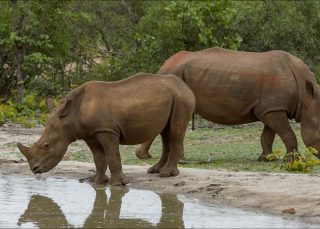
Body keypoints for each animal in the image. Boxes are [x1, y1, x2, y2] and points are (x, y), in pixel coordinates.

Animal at [17, 73, 195, 184]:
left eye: (46, 145)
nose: (34, 169)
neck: (70, 116)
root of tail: (185, 86)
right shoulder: (90, 134)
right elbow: (98, 158)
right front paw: (97, 182)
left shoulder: (106, 131)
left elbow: (112, 156)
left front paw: (118, 184)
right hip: (172, 97)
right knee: (165, 133)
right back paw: (155, 171)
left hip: (181, 100)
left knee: (175, 132)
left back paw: (166, 174)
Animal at [136, 47, 320, 162]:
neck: (305, 97)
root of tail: (164, 65)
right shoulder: (273, 109)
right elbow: (288, 134)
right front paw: (293, 160)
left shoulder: (271, 108)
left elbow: (268, 135)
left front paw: (266, 159)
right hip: (174, 75)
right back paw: (166, 159)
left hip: (174, 75)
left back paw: (151, 157)